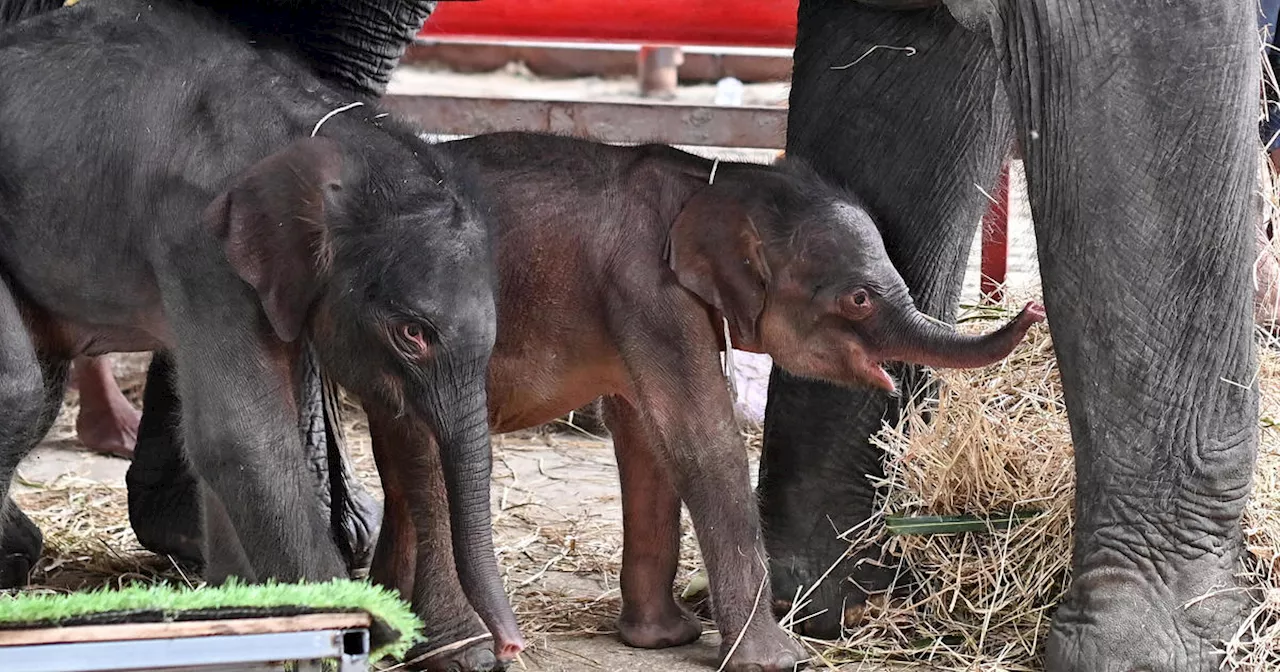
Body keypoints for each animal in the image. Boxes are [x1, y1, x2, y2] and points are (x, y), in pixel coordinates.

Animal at [366, 132, 1044, 670]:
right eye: (858, 299)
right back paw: (460, 653)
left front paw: (663, 640)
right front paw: (774, 662)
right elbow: (700, 436)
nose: (1034, 308)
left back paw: (381, 630)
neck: (714, 178)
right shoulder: (647, 290)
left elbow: (645, 436)